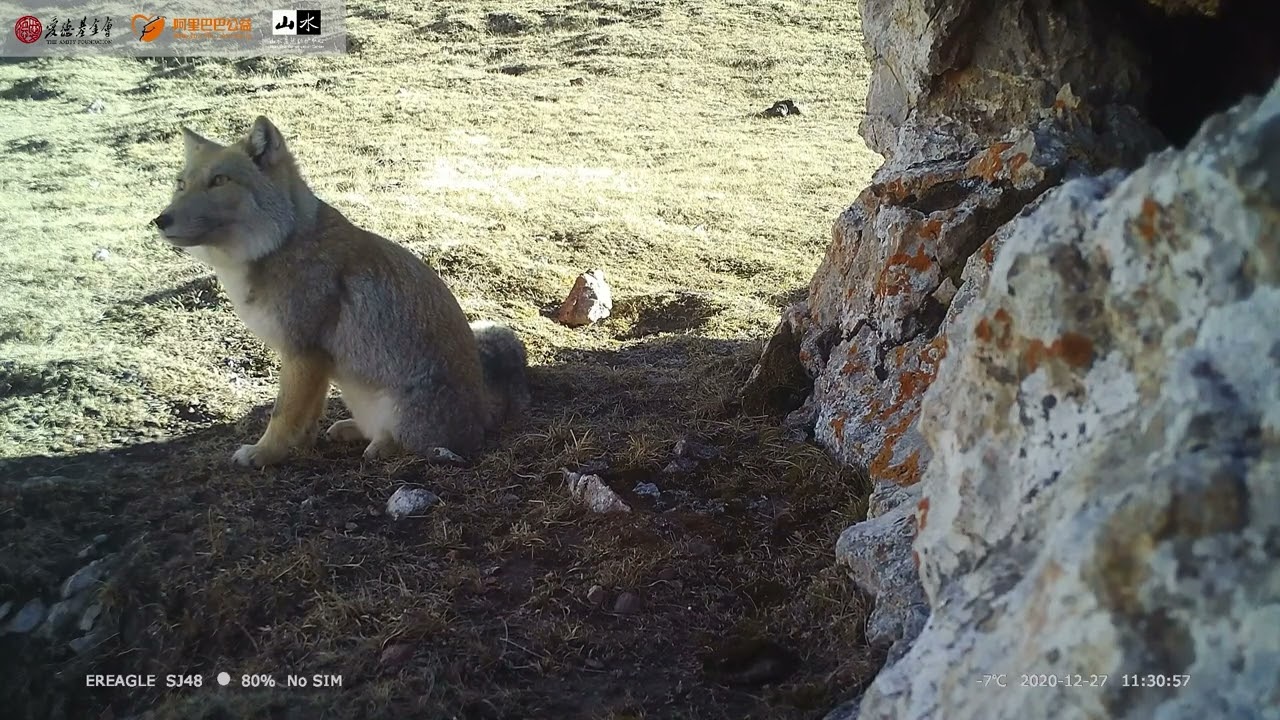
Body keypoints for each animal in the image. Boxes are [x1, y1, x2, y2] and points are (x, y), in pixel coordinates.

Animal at [151, 115, 530, 468]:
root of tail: (484, 412)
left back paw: (381, 446)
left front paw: (264, 454)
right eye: (180, 184)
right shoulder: (314, 364)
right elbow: (306, 416)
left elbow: (282, 415)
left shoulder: (303, 352)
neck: (281, 244)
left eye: (219, 181)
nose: (159, 220)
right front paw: (300, 447)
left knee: (413, 444)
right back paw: (350, 429)